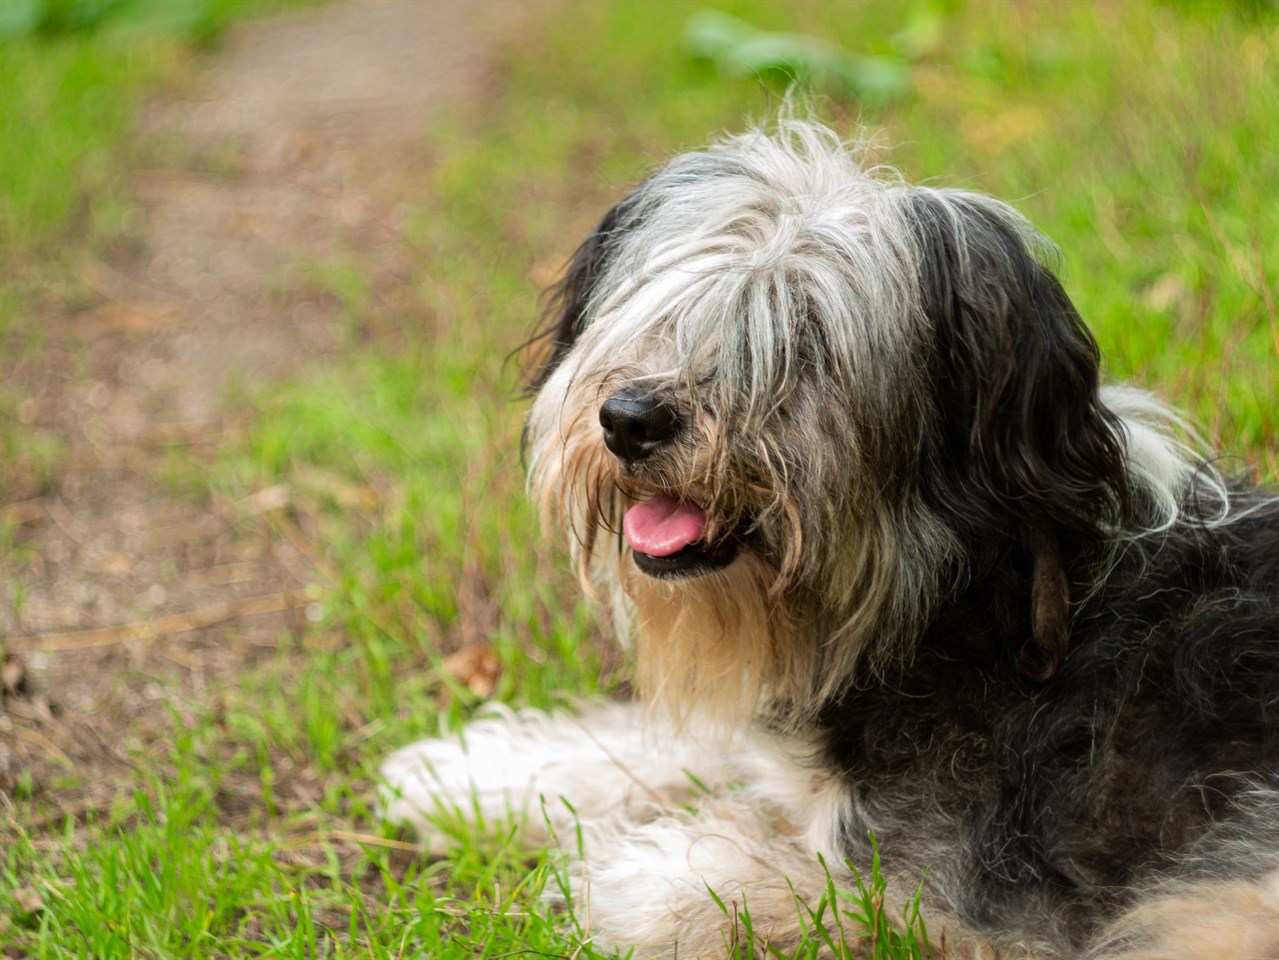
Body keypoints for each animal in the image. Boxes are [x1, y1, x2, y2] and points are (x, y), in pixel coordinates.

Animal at [378, 120, 1279, 960]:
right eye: (668, 309)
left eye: (802, 340)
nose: (629, 421)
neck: (973, 599)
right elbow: (694, 743)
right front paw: (483, 775)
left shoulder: (1003, 912)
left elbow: (819, 877)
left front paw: (639, 872)